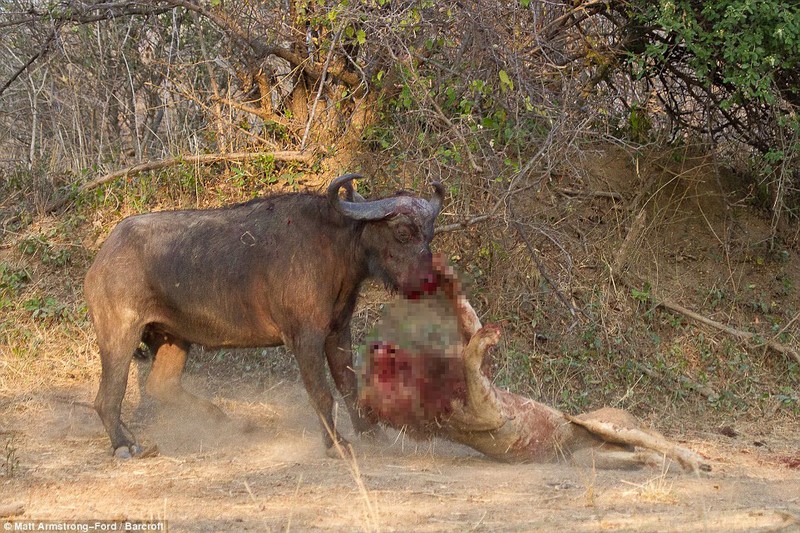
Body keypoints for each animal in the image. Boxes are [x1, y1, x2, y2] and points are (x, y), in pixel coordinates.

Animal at [85, 174, 446, 458]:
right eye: (402, 232)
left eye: (429, 234)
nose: (428, 281)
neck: (334, 247)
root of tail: (102, 257)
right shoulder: (305, 337)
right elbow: (321, 392)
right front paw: (336, 444)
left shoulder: (338, 331)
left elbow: (348, 385)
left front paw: (371, 434)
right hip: (120, 335)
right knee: (107, 396)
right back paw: (125, 444)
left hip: (173, 338)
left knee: (162, 385)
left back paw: (222, 419)